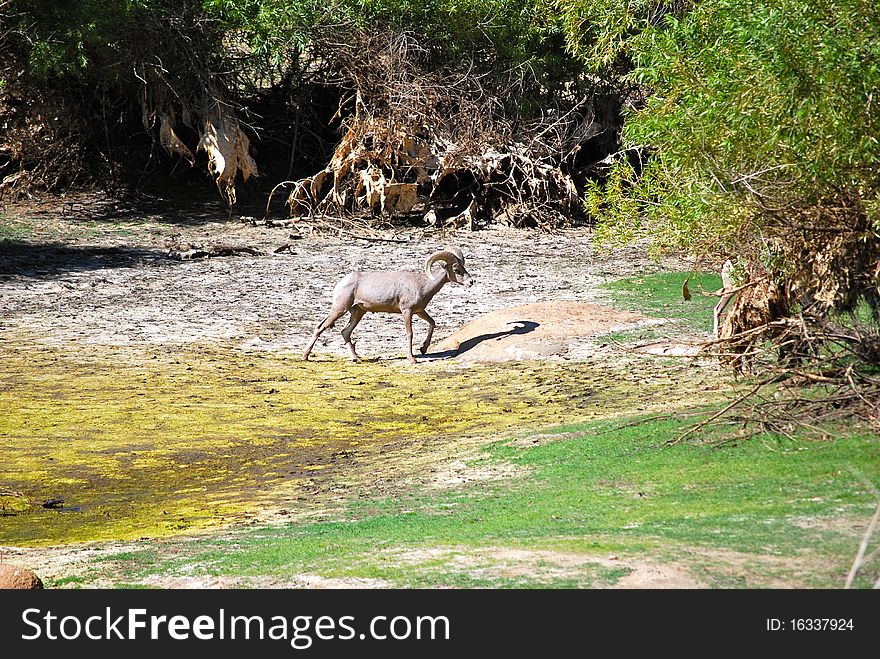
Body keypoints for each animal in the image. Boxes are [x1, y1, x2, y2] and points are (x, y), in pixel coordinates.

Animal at [300, 246, 470, 364]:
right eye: (456, 269)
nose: (471, 282)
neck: (423, 284)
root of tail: (341, 283)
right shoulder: (407, 311)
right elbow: (410, 333)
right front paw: (412, 359)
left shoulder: (419, 311)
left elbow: (432, 323)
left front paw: (423, 348)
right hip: (339, 309)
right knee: (320, 327)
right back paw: (305, 356)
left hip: (358, 313)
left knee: (345, 332)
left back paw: (356, 359)